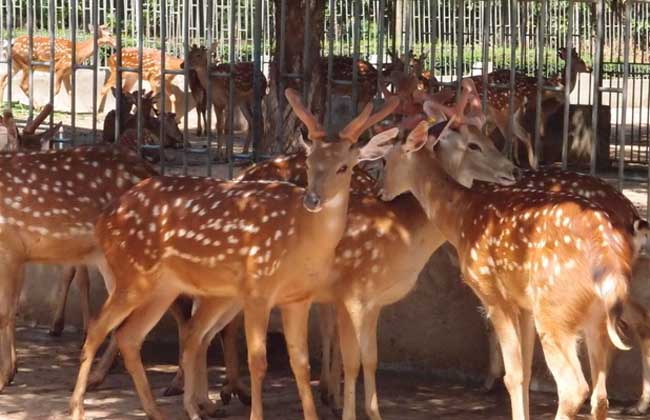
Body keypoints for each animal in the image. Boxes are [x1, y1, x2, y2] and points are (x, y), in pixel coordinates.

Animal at [68, 88, 398, 420]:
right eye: (308, 162)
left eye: (344, 166)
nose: (313, 199)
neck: (300, 239)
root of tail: (104, 220)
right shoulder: (257, 288)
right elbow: (258, 361)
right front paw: (254, 413)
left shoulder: (298, 299)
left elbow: (301, 365)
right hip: (133, 274)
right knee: (97, 328)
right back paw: (78, 407)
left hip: (163, 287)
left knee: (131, 336)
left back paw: (156, 411)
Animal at [378, 91, 636, 420]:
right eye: (474, 143)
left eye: (386, 159)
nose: (380, 191)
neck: (461, 217)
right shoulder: (522, 303)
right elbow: (524, 372)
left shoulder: (491, 291)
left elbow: (512, 375)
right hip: (594, 317)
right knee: (600, 395)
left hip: (555, 311)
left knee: (574, 387)